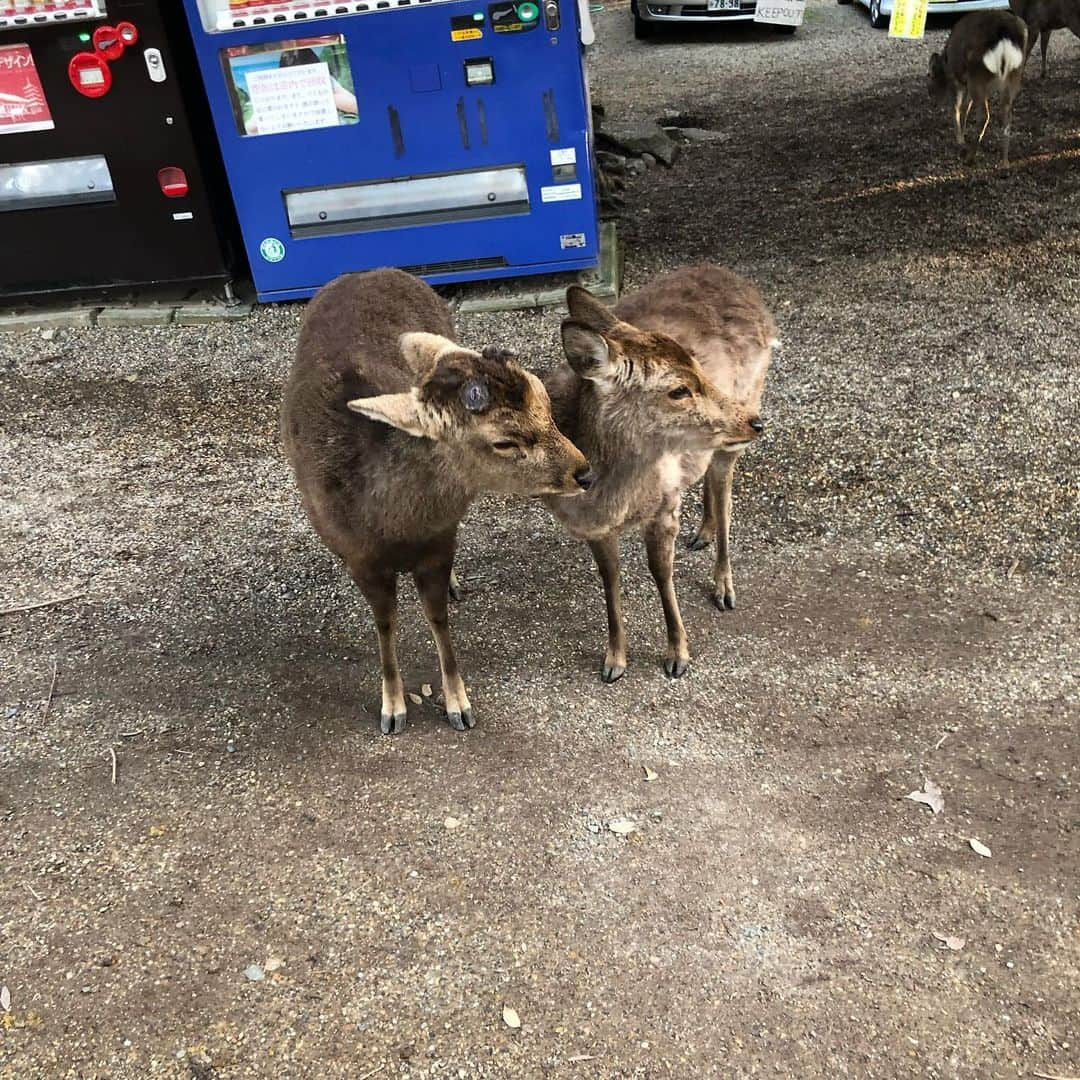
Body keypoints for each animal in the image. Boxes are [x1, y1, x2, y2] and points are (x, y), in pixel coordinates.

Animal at [280, 268, 591, 734]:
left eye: (546, 404)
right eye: (504, 441)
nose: (583, 471)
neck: (395, 524)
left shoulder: (441, 540)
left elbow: (438, 618)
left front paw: (458, 705)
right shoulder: (359, 556)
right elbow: (384, 624)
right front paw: (392, 709)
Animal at [540, 276, 768, 682]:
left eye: (700, 368)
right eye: (678, 389)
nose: (755, 424)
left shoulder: (665, 504)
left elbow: (661, 574)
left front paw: (678, 655)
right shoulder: (591, 524)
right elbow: (610, 578)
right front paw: (614, 660)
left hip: (742, 415)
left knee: (725, 498)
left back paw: (724, 587)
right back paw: (703, 533)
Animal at [928, 11, 1028, 164]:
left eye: (929, 77)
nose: (932, 100)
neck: (946, 63)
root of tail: (1003, 31)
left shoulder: (957, 81)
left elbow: (956, 108)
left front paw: (960, 142)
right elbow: (965, 108)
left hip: (978, 74)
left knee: (984, 115)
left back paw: (970, 157)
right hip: (1015, 73)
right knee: (1007, 113)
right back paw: (1005, 162)